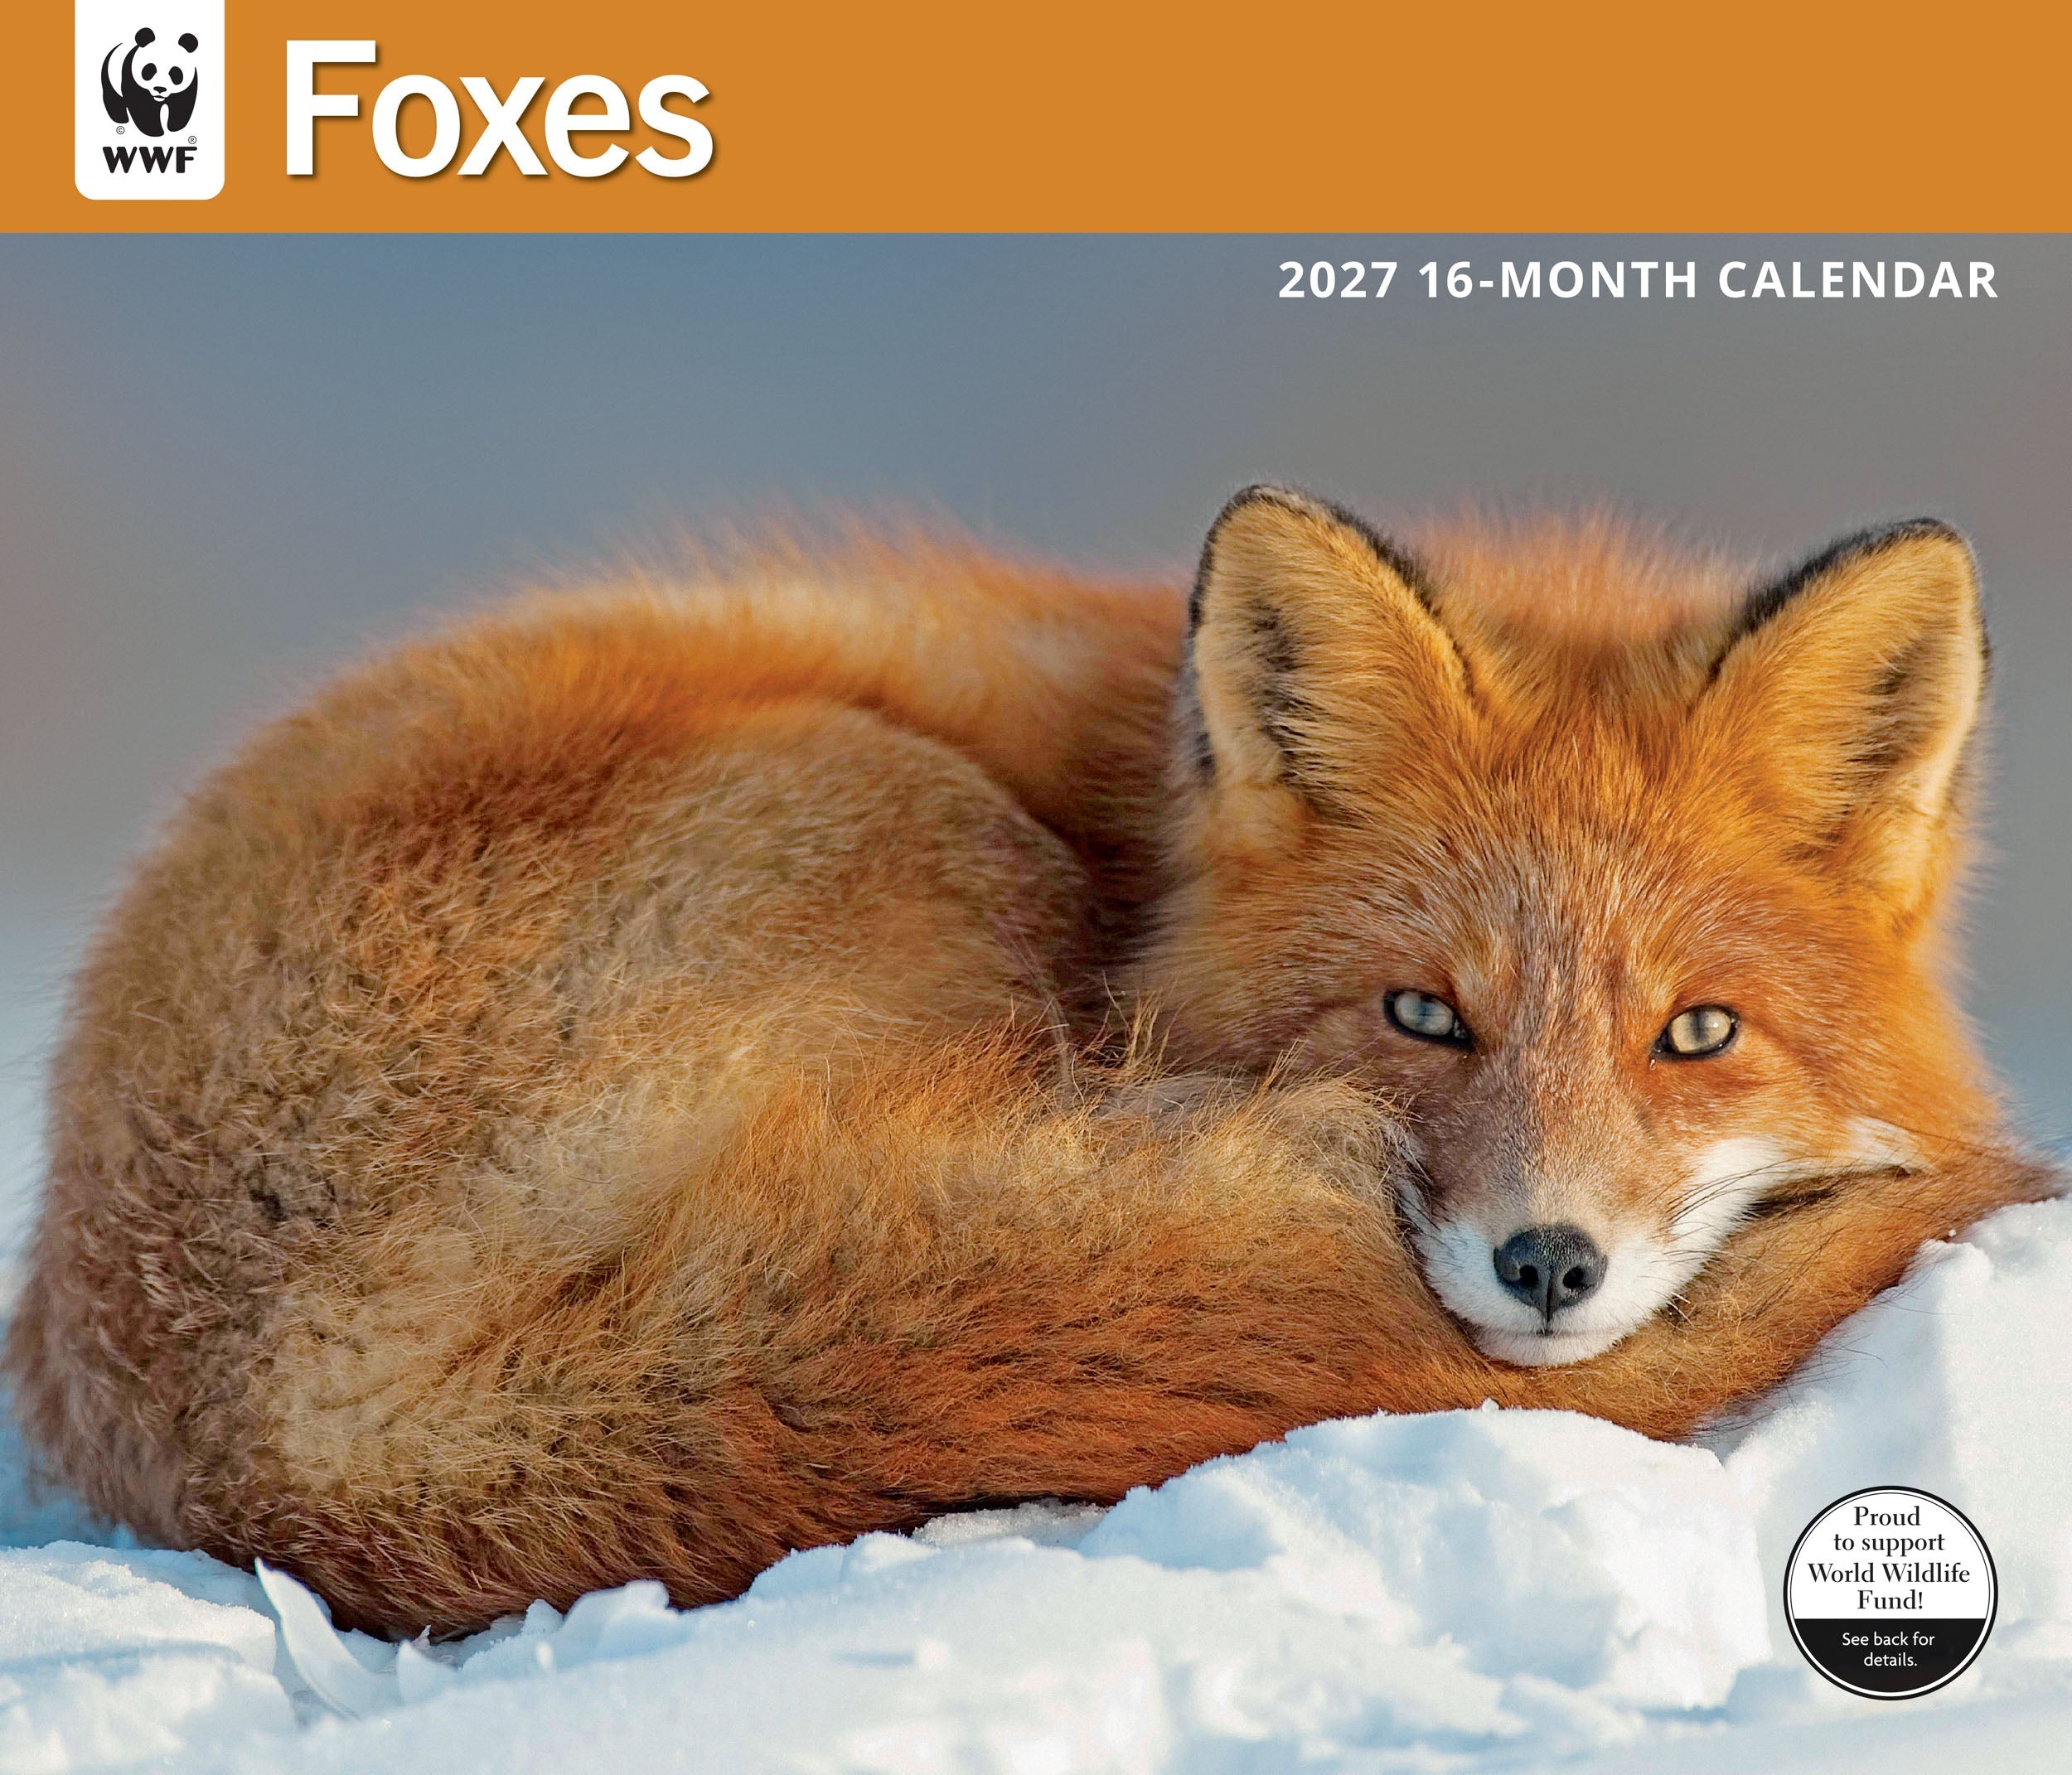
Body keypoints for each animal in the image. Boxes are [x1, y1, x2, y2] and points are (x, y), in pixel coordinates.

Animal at [6, 486, 2055, 1636]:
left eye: (1695, 1032)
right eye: (1423, 1016)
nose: (1547, 1264)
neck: (1139, 830)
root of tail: (288, 1432)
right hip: (927, 820)